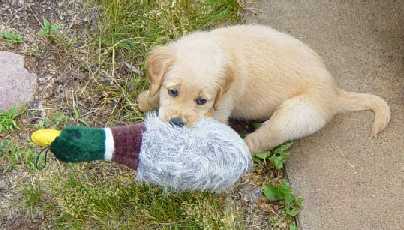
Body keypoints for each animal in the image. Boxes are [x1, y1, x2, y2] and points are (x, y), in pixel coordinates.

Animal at [137, 24, 390, 154]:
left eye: (202, 101)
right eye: (172, 92)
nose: (177, 123)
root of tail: (335, 92)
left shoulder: (220, 109)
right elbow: (155, 92)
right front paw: (146, 100)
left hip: (292, 117)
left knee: (258, 141)